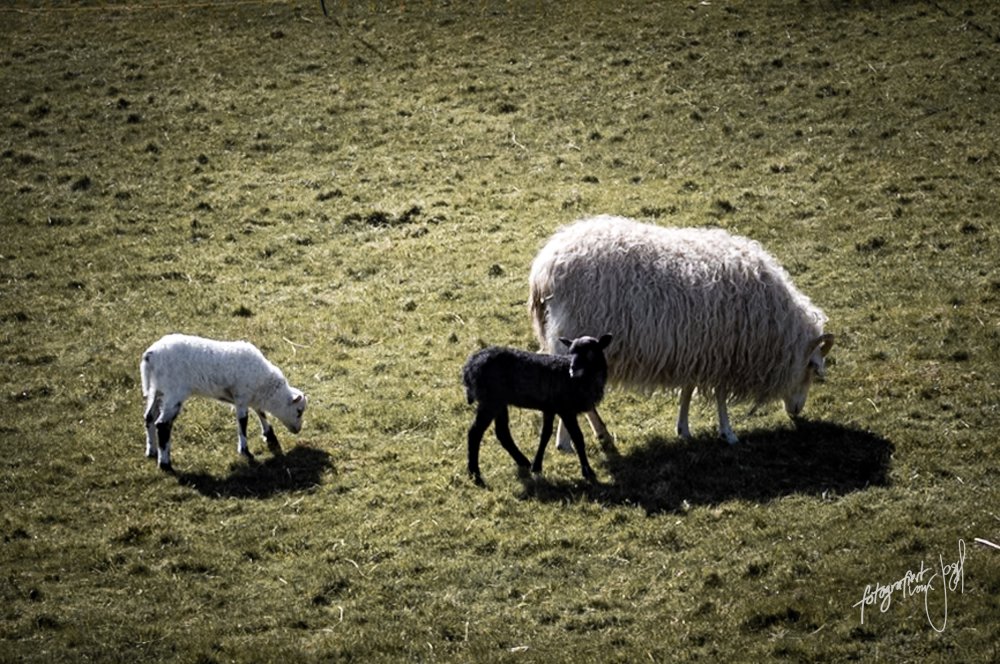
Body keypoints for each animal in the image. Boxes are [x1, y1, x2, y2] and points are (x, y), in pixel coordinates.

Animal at [140, 334, 307, 472]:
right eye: (299, 411)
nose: (298, 430)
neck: (265, 386)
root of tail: (150, 355)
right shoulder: (241, 396)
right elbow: (243, 422)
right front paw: (245, 450)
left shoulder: (249, 396)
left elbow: (260, 411)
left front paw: (269, 433)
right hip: (174, 392)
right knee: (163, 425)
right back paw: (165, 463)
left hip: (158, 390)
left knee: (149, 417)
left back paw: (151, 451)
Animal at [462, 334, 613, 485]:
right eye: (570, 352)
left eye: (589, 351)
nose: (573, 369)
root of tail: (469, 367)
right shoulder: (566, 410)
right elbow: (578, 438)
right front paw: (588, 471)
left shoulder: (550, 408)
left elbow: (545, 434)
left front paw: (536, 466)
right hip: (490, 401)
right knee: (475, 433)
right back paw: (475, 474)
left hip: (499, 402)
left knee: (502, 433)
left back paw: (523, 461)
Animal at [528, 215, 833, 448]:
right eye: (811, 368)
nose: (796, 412)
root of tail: (544, 269)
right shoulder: (723, 354)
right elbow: (720, 396)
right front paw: (728, 433)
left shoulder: (697, 350)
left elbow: (687, 389)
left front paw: (684, 429)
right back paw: (565, 443)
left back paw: (602, 434)